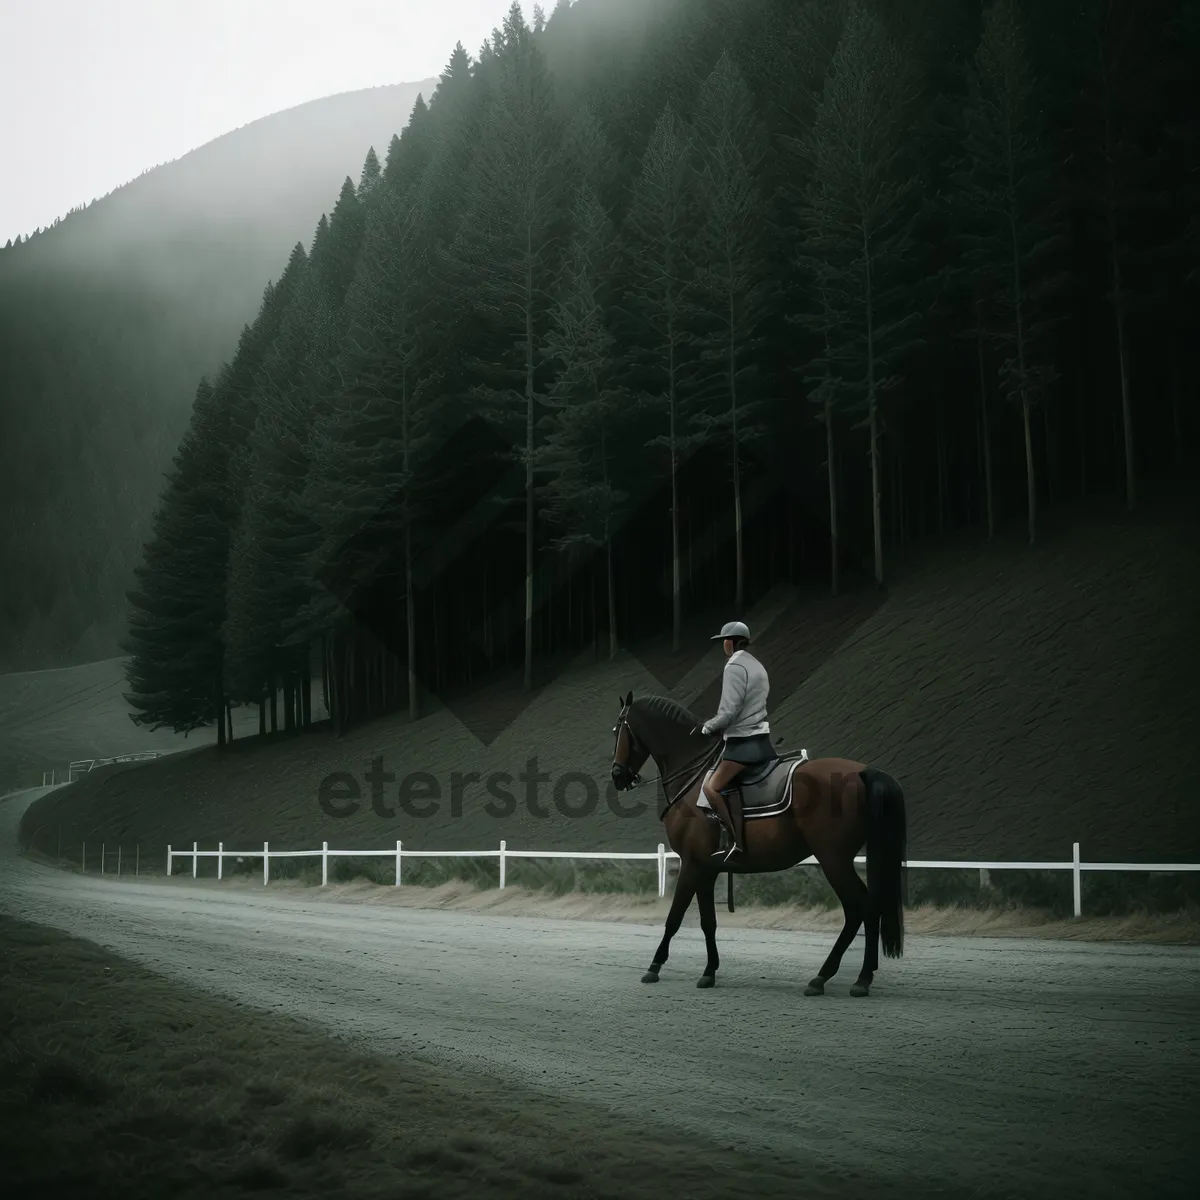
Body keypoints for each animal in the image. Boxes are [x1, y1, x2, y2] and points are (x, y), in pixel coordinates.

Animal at [609, 691, 907, 998]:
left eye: (619, 729)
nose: (617, 775)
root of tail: (863, 772)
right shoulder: (707, 868)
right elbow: (708, 921)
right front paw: (709, 972)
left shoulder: (691, 864)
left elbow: (674, 917)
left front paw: (654, 967)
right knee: (866, 907)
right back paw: (856, 976)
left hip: (833, 859)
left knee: (858, 907)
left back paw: (834, 978)